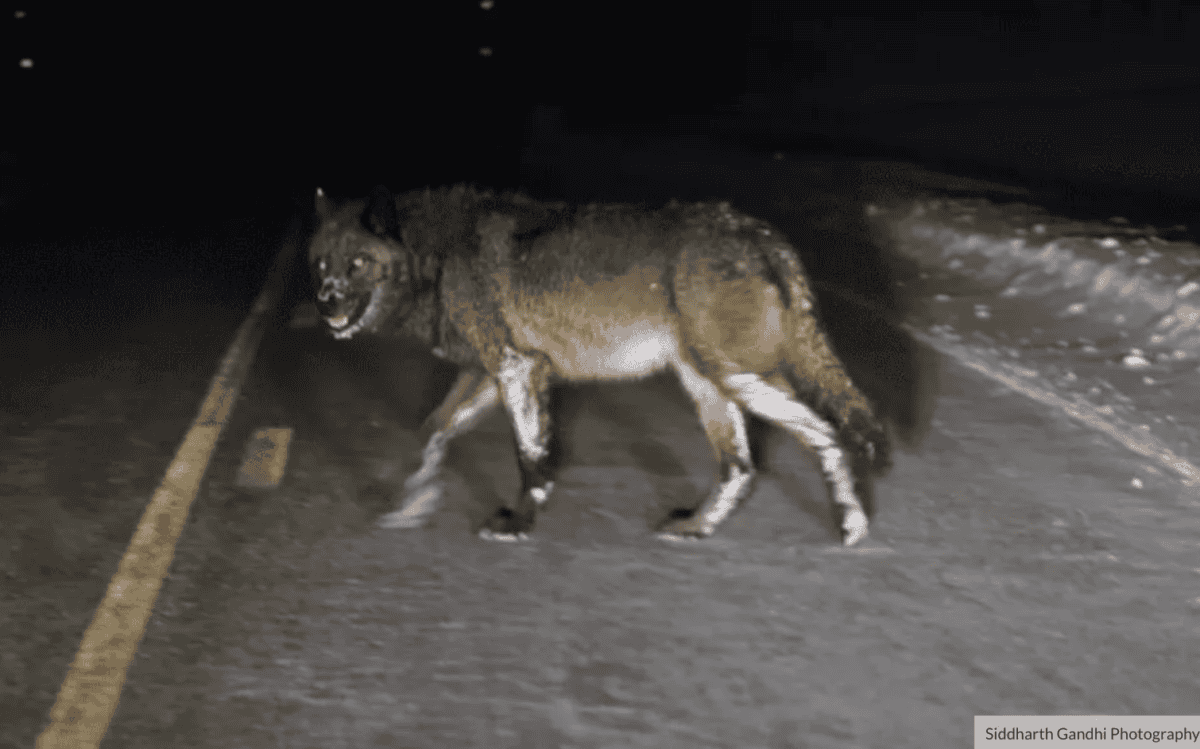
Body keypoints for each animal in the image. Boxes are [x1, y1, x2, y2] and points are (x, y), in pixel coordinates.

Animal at [307, 184, 890, 545]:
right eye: (320, 264)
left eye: (357, 264)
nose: (325, 305)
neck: (438, 255)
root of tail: (764, 236)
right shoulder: (495, 374)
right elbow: (430, 432)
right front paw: (410, 505)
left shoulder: (513, 369)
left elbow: (529, 459)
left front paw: (518, 524)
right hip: (710, 386)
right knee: (741, 467)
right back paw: (697, 528)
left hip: (734, 379)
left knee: (825, 433)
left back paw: (853, 528)